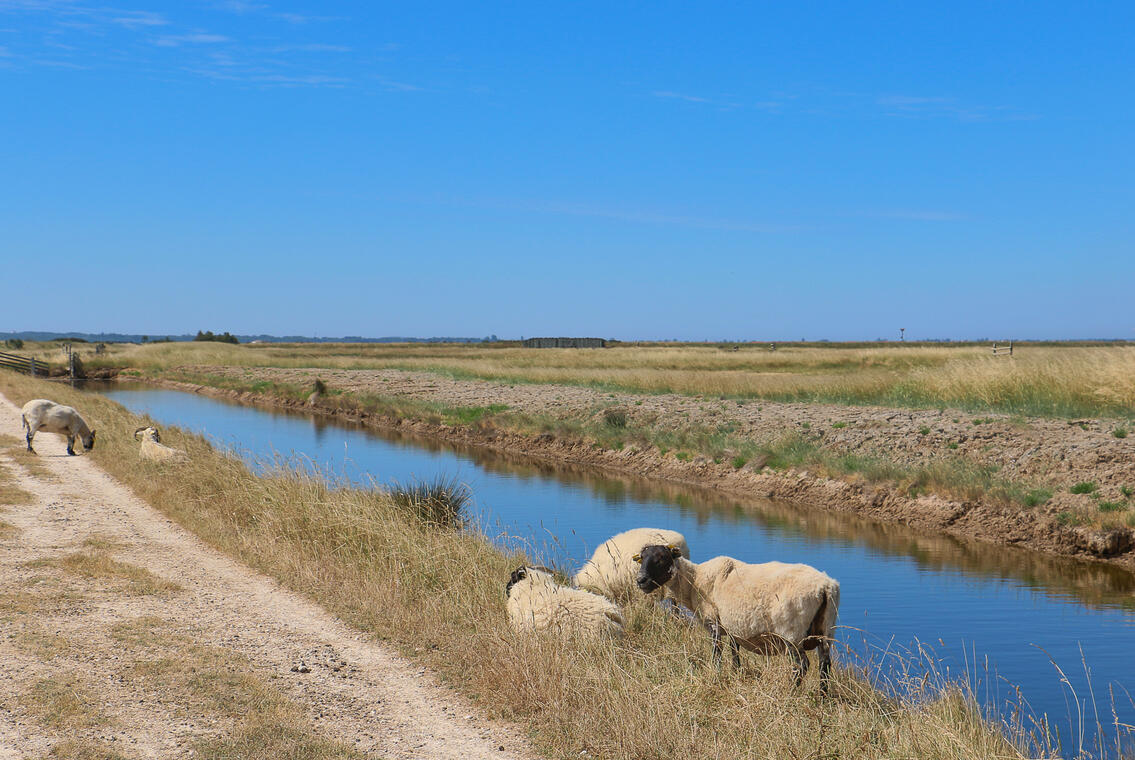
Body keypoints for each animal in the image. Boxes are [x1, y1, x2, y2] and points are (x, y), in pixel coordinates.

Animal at [635, 542, 839, 689]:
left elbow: (716, 654)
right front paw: (736, 674)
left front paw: (716, 676)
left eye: (662, 558)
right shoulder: (734, 628)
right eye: (642, 558)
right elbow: (735, 655)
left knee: (801, 665)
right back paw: (822, 697)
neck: (694, 580)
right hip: (826, 630)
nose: (641, 581)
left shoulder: (714, 623)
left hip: (792, 633)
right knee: (825, 664)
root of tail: (825, 586)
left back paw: (791, 693)